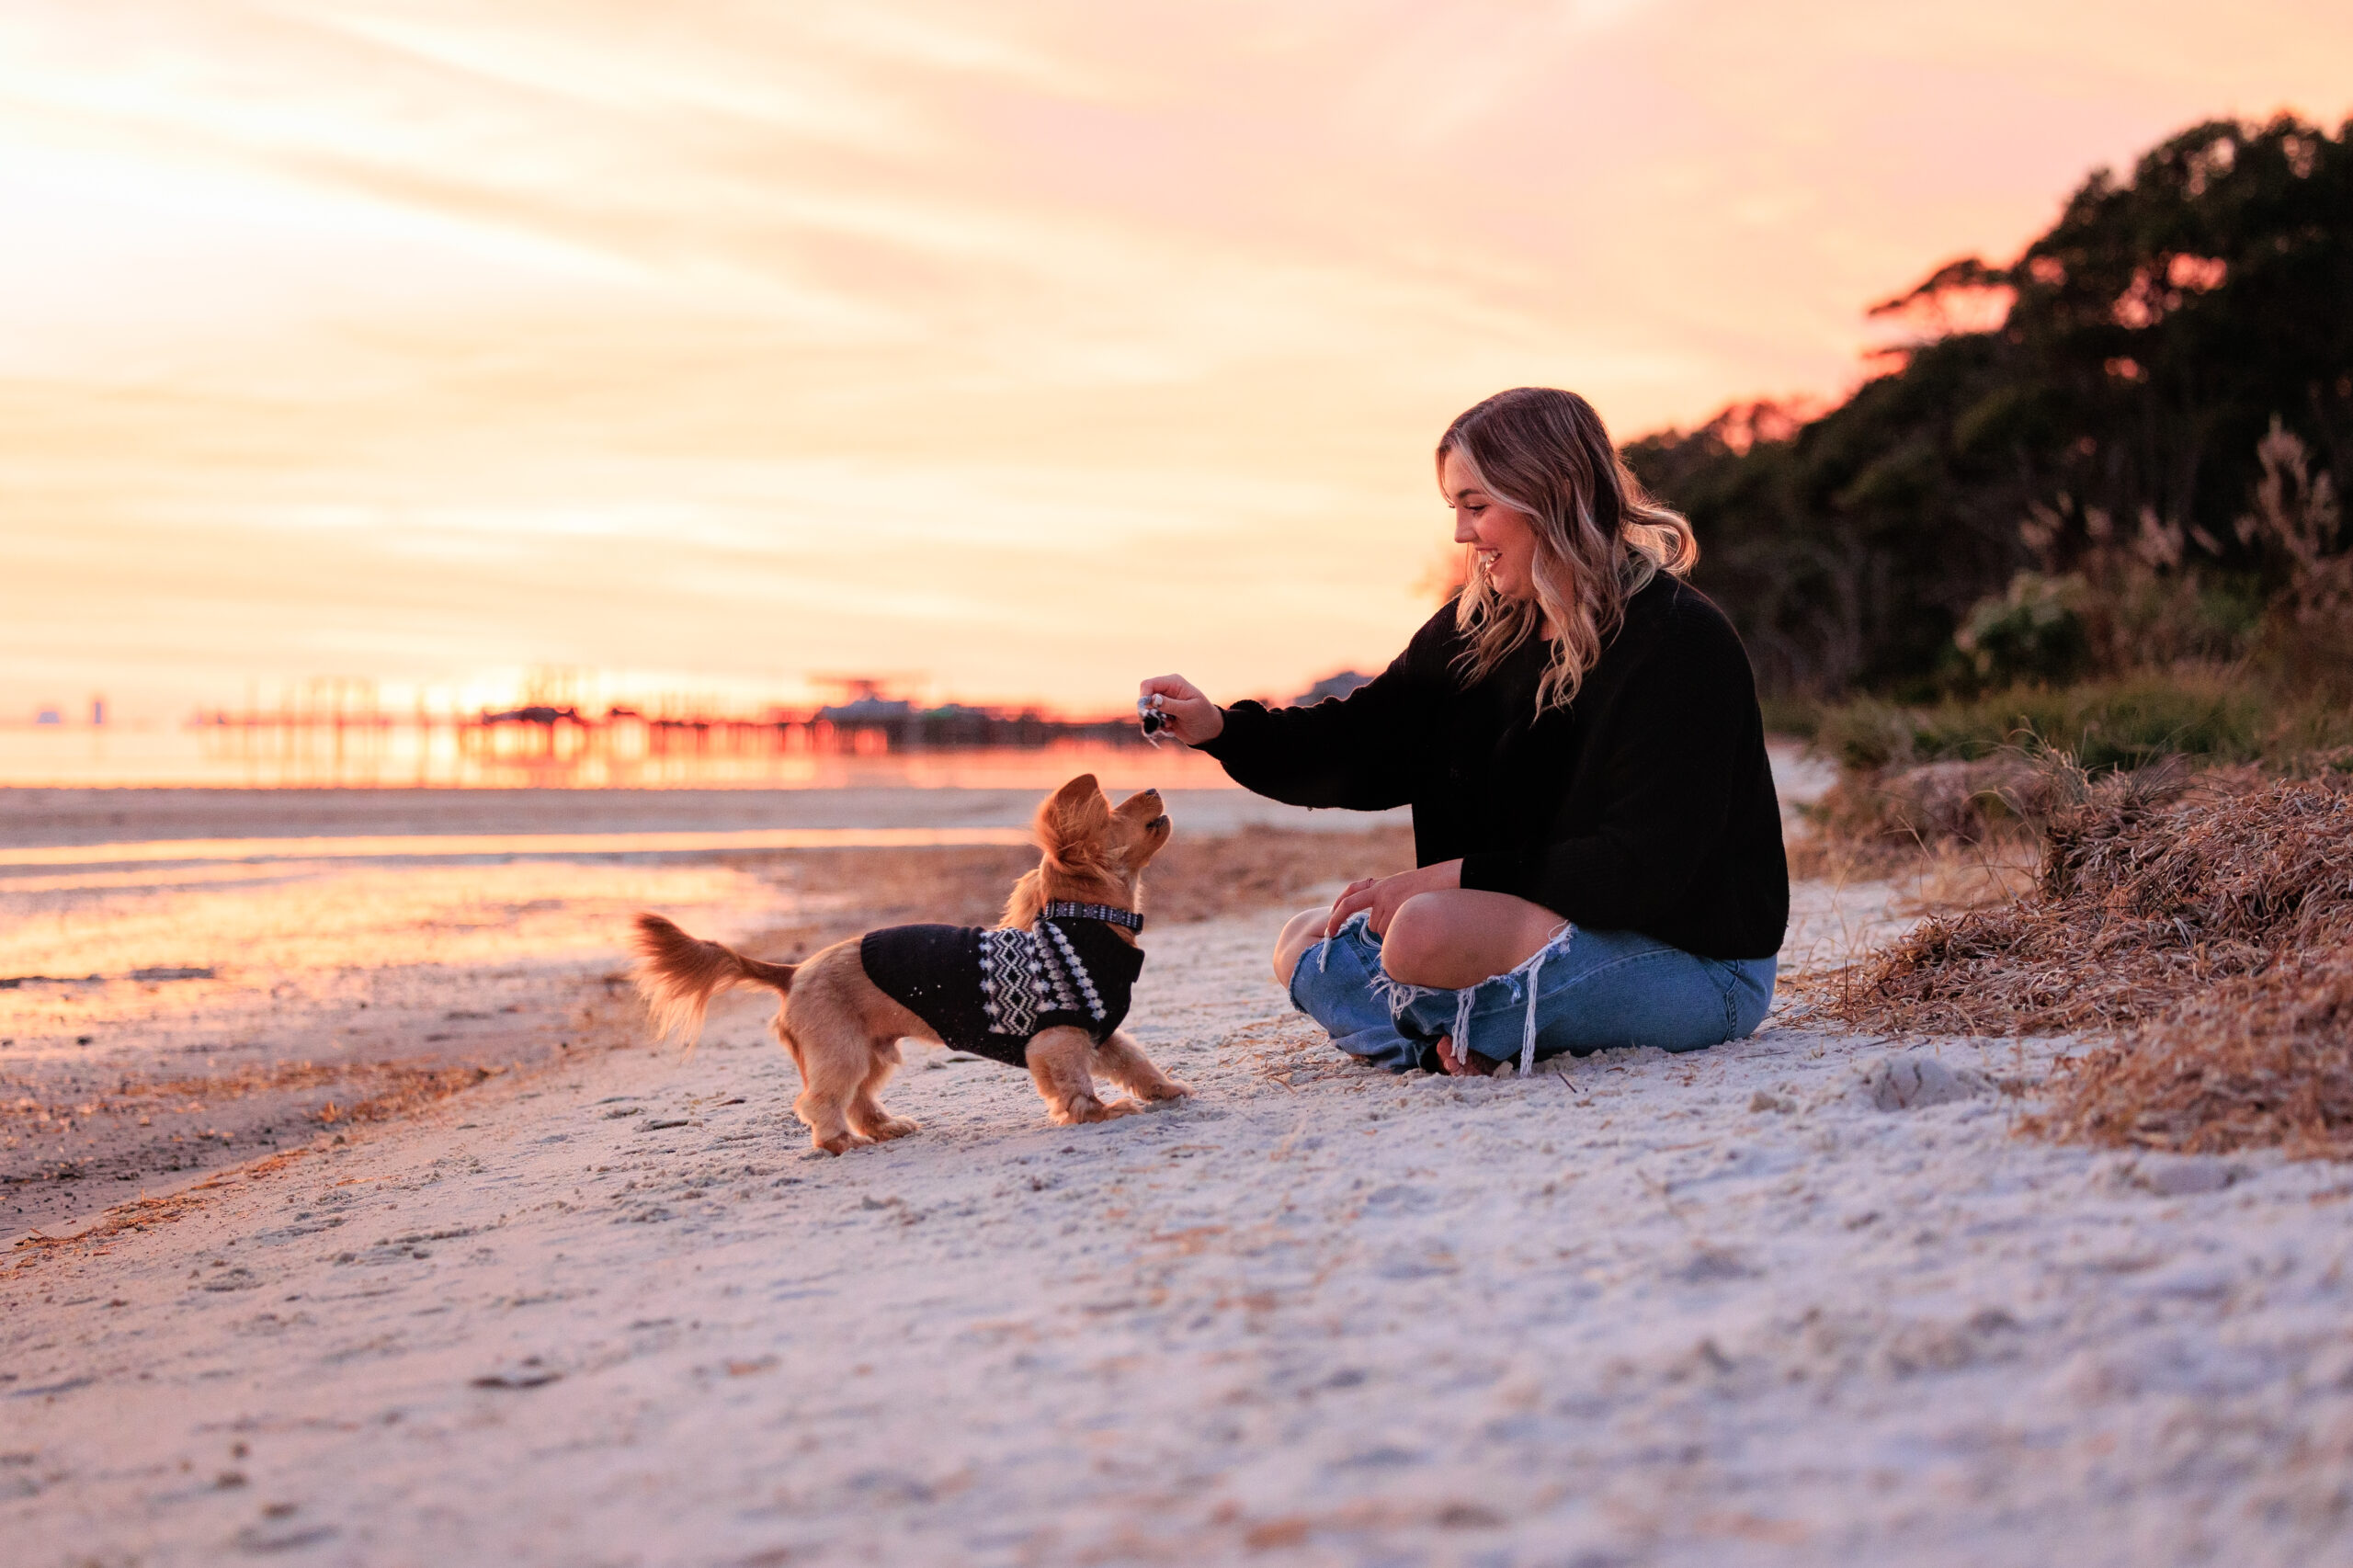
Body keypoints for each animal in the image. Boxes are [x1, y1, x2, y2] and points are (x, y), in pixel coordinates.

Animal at [631, 772, 1195, 1149]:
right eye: (1114, 813)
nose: (1153, 786)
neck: (1084, 924)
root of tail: (793, 973)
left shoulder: (1100, 1031)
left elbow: (1136, 1062)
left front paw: (1165, 1090)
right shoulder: (1059, 1040)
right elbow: (1078, 1087)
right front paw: (1100, 1113)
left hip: (873, 1053)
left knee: (858, 1100)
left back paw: (885, 1127)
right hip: (843, 1053)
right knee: (819, 1103)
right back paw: (839, 1142)